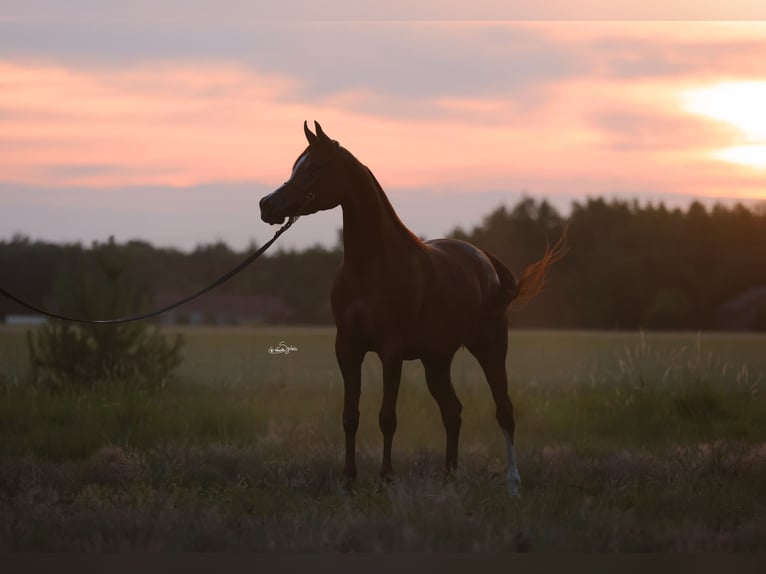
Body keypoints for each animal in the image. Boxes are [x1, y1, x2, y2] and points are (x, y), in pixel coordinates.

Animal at [260, 120, 568, 496]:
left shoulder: (391, 349)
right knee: (453, 412)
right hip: (437, 360)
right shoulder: (347, 348)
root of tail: (485, 261)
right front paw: (349, 482)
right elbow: (350, 417)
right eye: (296, 166)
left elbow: (387, 417)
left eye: (315, 167)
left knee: (504, 411)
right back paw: (450, 477)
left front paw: (385, 480)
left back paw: (513, 485)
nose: (267, 205)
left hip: (490, 348)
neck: (372, 266)